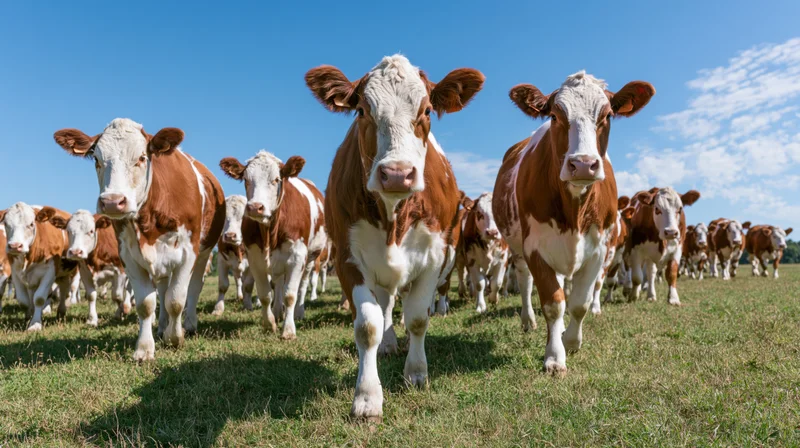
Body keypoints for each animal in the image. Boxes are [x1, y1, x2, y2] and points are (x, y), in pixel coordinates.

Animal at [53, 118, 226, 361]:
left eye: (142, 158)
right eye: (96, 159)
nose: (112, 201)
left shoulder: (187, 253)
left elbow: (176, 299)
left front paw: (175, 338)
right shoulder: (129, 256)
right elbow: (146, 303)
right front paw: (145, 348)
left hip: (204, 252)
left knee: (194, 287)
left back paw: (189, 324)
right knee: (162, 289)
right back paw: (162, 326)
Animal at [219, 150, 327, 339]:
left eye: (276, 179)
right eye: (246, 179)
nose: (255, 207)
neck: (270, 232)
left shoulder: (297, 258)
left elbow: (290, 295)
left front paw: (288, 331)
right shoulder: (255, 259)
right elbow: (265, 294)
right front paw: (270, 324)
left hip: (311, 259)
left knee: (303, 285)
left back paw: (299, 312)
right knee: (278, 285)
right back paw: (277, 312)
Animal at [305, 54, 484, 420]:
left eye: (427, 110)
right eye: (362, 110)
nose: (397, 174)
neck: (393, 215)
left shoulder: (435, 257)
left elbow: (417, 318)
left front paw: (416, 373)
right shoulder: (347, 258)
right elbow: (368, 325)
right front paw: (367, 397)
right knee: (385, 305)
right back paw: (388, 344)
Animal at [493, 71, 655, 374]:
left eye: (607, 115)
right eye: (554, 115)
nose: (582, 164)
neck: (574, 210)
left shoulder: (599, 249)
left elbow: (579, 303)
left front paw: (570, 342)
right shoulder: (535, 247)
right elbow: (553, 303)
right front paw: (554, 356)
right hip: (518, 248)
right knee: (525, 281)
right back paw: (528, 320)